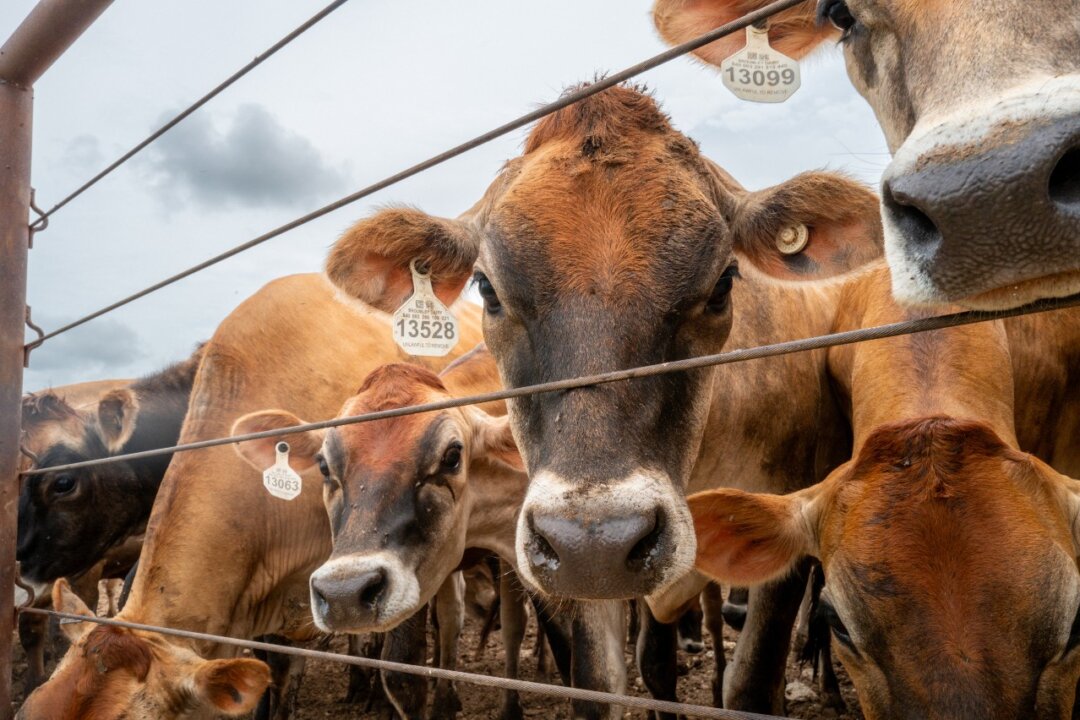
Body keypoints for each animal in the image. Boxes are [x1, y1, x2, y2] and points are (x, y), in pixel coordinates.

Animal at [322, 82, 883, 712]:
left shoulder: (784, 524)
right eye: (487, 290)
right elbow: (602, 680)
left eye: (723, 283)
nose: (598, 541)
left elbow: (748, 684)